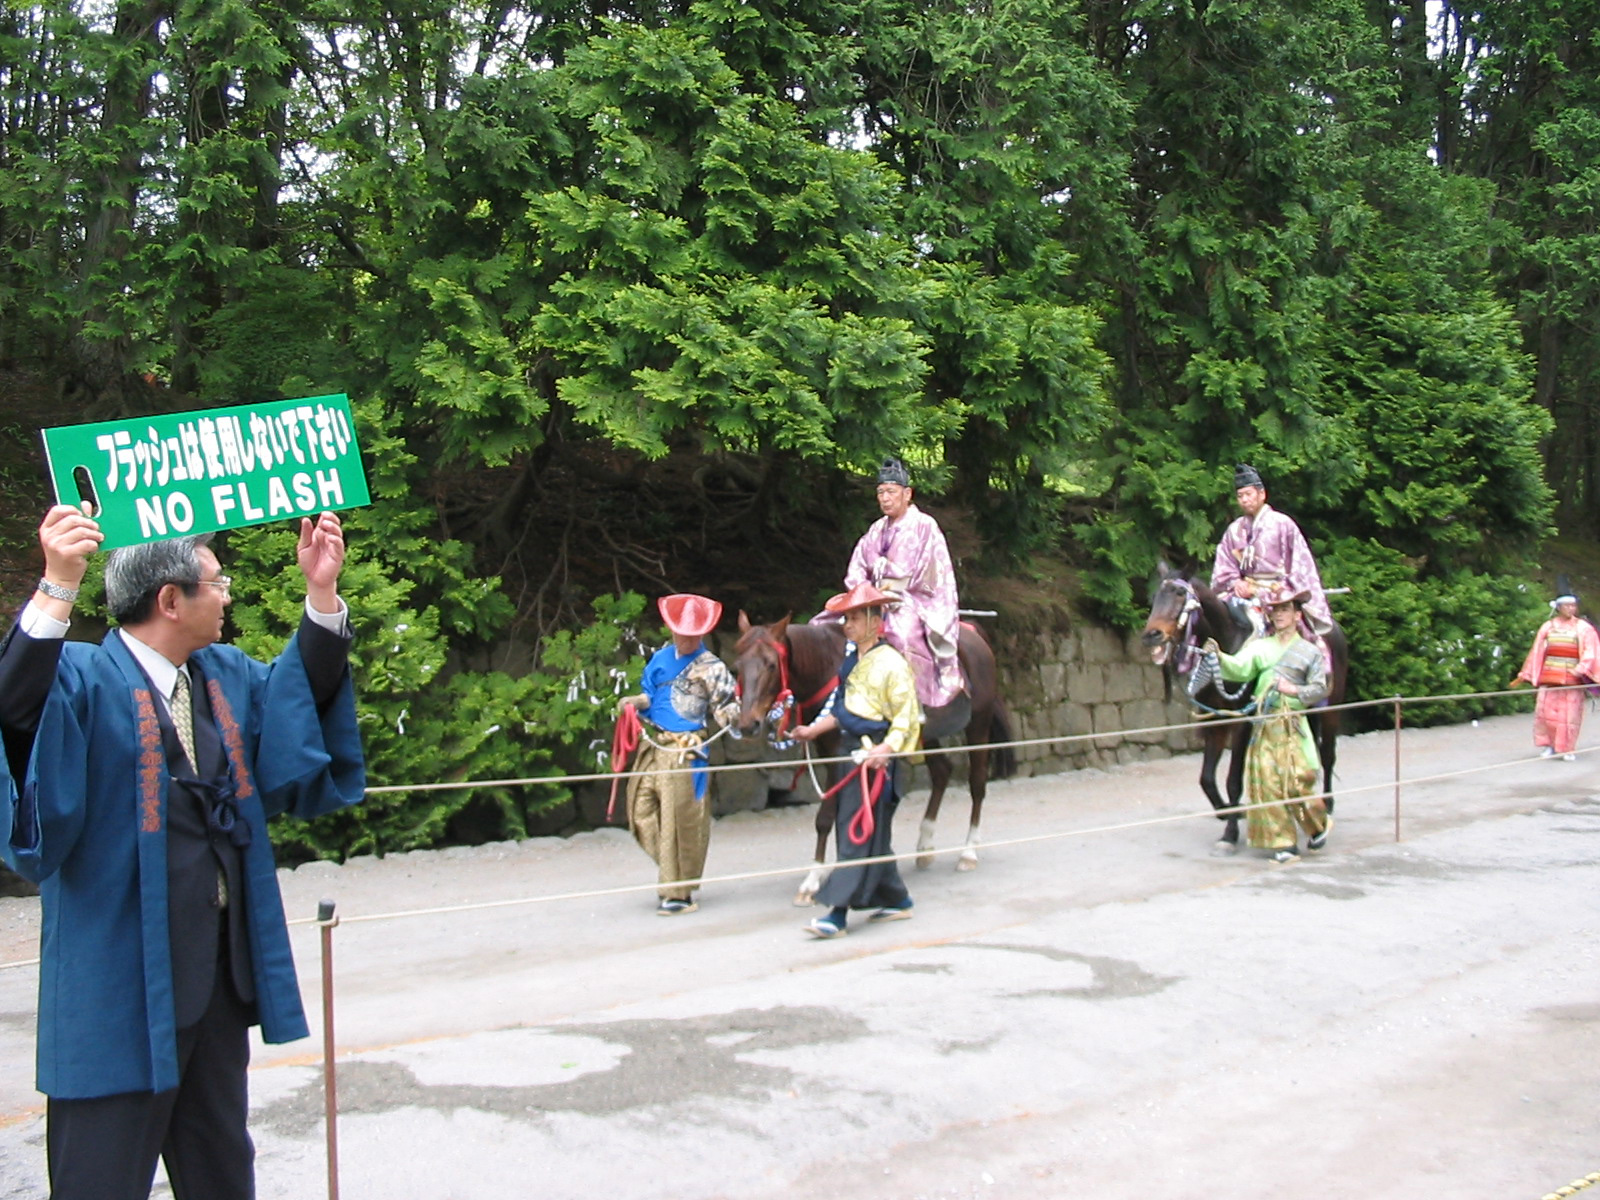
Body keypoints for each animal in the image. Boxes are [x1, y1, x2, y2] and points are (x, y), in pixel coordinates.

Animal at [732, 614, 1017, 908]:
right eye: (736, 667)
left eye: (771, 664)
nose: (748, 724)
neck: (827, 667)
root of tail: (974, 634)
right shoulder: (830, 752)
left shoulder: (840, 753)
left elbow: (827, 817)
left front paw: (812, 881)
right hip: (924, 733)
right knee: (942, 772)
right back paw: (925, 844)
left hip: (979, 723)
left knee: (977, 783)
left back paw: (968, 852)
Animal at [1139, 566, 1350, 857]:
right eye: (1154, 597)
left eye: (1180, 594)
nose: (1152, 635)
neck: (1227, 644)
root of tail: (1334, 629)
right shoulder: (1216, 720)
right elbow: (1207, 778)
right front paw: (1229, 812)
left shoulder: (1242, 720)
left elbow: (1233, 781)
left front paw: (1229, 834)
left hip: (1332, 707)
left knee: (1328, 756)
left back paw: (1326, 805)